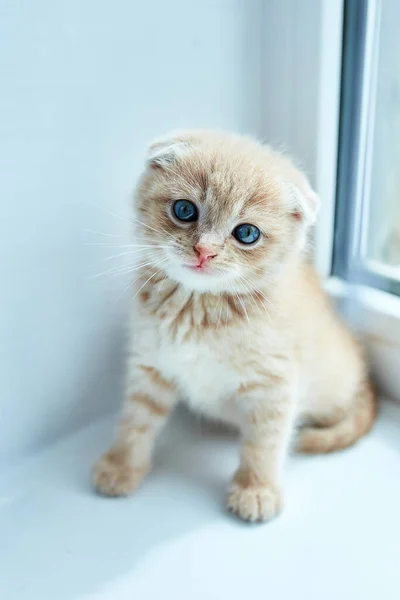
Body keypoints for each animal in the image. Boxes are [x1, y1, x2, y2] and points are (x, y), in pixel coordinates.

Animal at [93, 130, 376, 520]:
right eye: (184, 210)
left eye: (247, 233)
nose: (204, 251)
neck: (199, 307)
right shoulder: (150, 366)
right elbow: (136, 420)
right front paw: (121, 466)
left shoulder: (274, 384)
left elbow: (264, 442)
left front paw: (256, 489)